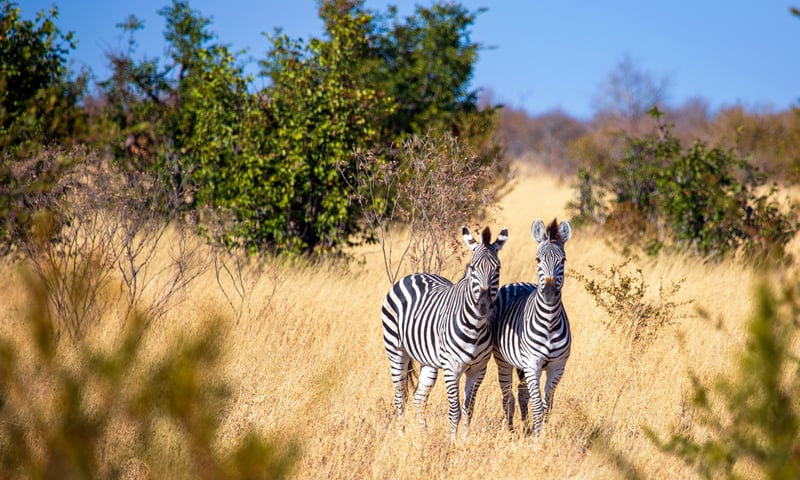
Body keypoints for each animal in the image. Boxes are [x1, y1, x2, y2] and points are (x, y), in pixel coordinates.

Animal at [381, 225, 508, 439]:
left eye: (497, 268)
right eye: (472, 268)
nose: (483, 307)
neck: (475, 328)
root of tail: (413, 275)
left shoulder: (478, 369)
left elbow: (469, 409)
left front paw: (464, 441)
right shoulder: (451, 368)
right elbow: (455, 411)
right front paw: (453, 442)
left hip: (428, 361)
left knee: (418, 398)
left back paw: (423, 436)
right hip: (396, 351)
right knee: (399, 396)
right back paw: (402, 434)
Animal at [491, 218, 572, 437]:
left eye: (563, 261)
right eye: (538, 260)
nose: (550, 293)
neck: (550, 322)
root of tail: (517, 283)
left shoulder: (557, 367)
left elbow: (547, 404)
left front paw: (539, 433)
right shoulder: (533, 364)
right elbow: (537, 405)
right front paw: (538, 437)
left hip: (521, 365)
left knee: (521, 394)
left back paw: (526, 429)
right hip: (504, 360)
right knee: (507, 397)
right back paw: (511, 431)